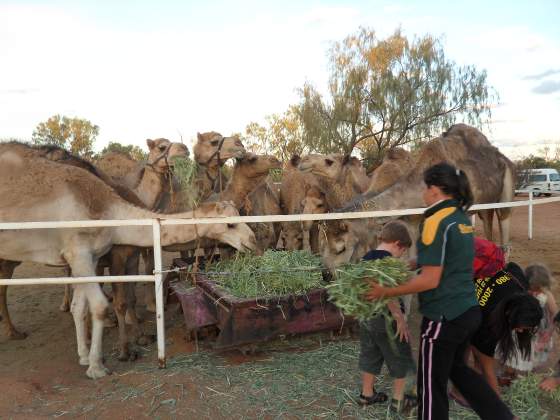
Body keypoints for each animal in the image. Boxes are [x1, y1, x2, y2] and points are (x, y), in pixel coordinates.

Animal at [0, 144, 256, 378]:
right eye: (230, 224)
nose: (252, 241)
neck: (109, 211)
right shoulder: (80, 252)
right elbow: (101, 306)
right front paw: (98, 366)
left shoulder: (89, 258)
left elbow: (80, 307)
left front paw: (84, 356)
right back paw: (14, 332)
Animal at [320, 124, 516, 270]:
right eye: (323, 244)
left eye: (341, 248)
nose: (327, 274)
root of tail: (500, 156)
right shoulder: (412, 221)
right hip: (485, 204)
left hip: (506, 186)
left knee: (504, 227)